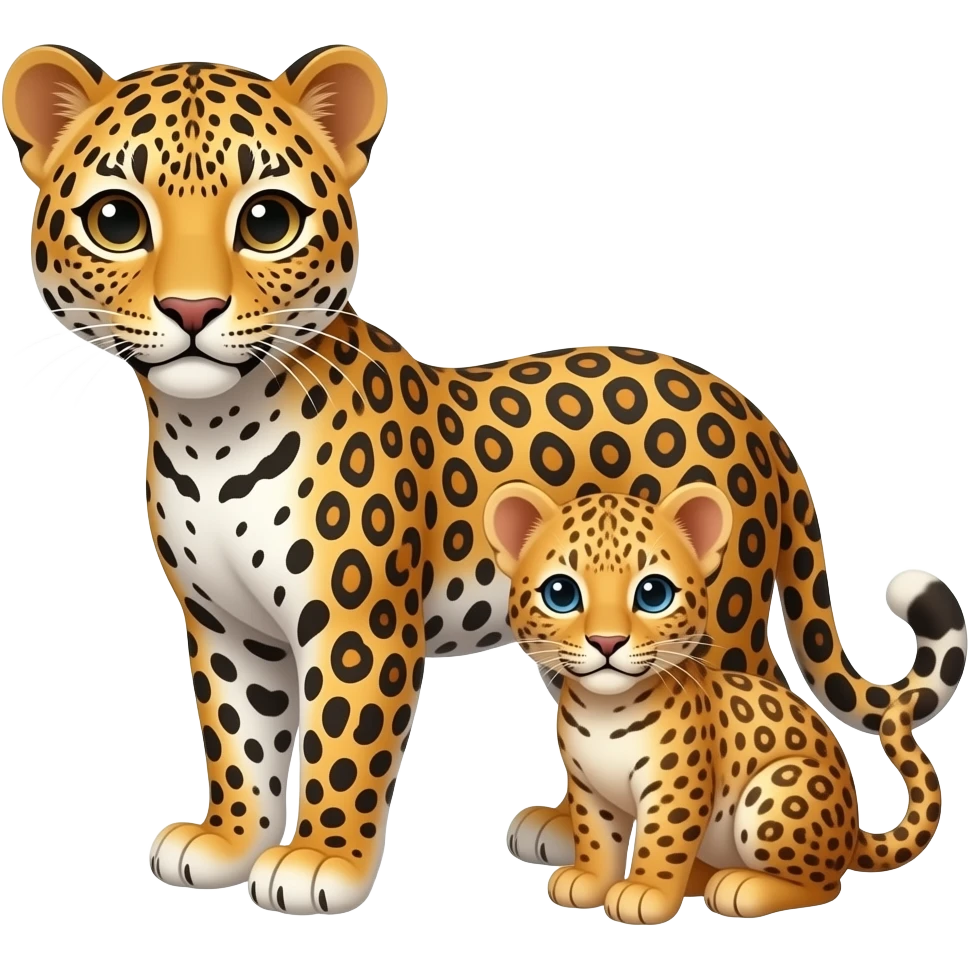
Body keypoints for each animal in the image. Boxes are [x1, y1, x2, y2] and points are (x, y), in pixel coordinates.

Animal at [484, 481, 966, 922]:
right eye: (561, 594)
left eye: (653, 594)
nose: (607, 642)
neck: (605, 711)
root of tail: (853, 830)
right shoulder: (590, 788)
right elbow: (598, 838)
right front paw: (588, 880)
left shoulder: (676, 786)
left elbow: (662, 843)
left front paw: (645, 893)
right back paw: (702, 879)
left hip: (779, 790)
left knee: (824, 884)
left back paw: (740, 887)